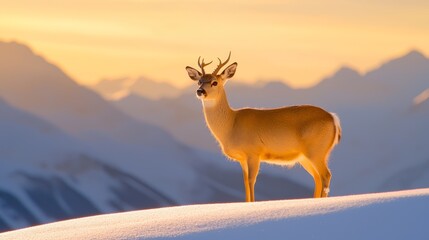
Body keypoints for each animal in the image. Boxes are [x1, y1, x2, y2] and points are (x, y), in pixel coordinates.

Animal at [184, 53, 342, 202]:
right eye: (199, 81)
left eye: (215, 82)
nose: (200, 91)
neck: (231, 125)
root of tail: (333, 118)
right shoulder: (242, 158)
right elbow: (245, 182)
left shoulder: (253, 152)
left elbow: (251, 180)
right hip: (306, 156)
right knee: (317, 177)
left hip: (316, 150)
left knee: (326, 175)